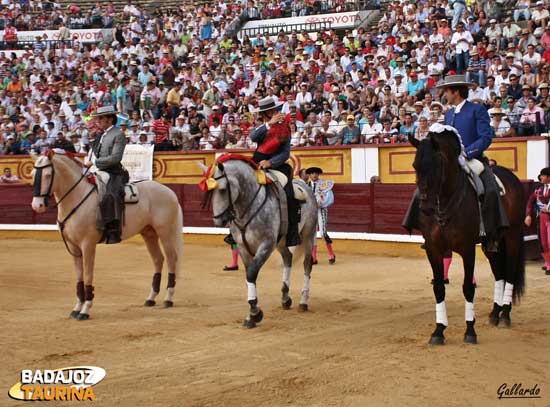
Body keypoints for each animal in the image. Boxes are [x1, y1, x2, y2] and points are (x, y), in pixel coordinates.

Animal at [31, 151, 184, 322]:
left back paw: (168, 299)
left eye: (47, 175)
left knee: (171, 259)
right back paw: (151, 298)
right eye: (32, 174)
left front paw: (85, 310)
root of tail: (169, 192)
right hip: (148, 233)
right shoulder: (74, 247)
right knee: (158, 259)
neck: (77, 196)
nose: (37, 206)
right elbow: (79, 277)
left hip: (165, 232)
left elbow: (88, 275)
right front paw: (76, 308)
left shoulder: (88, 244)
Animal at [201, 159, 316, 328]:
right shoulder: (242, 247)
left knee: (307, 263)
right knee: (288, 257)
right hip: (281, 241)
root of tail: (305, 184)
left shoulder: (266, 245)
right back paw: (285, 298)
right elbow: (249, 276)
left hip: (308, 234)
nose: (218, 221)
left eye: (222, 190)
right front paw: (251, 315)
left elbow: (251, 273)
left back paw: (303, 301)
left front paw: (255, 313)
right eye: (208, 192)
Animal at [412, 129, 528, 346]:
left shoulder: (467, 249)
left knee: (508, 272)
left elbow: (468, 287)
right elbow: (439, 287)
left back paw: (505, 315)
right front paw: (438, 331)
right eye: (415, 166)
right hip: (491, 243)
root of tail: (512, 177)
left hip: (512, 236)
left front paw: (470, 331)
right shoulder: (433, 249)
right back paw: (495, 313)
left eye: (437, 165)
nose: (425, 208)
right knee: (498, 273)